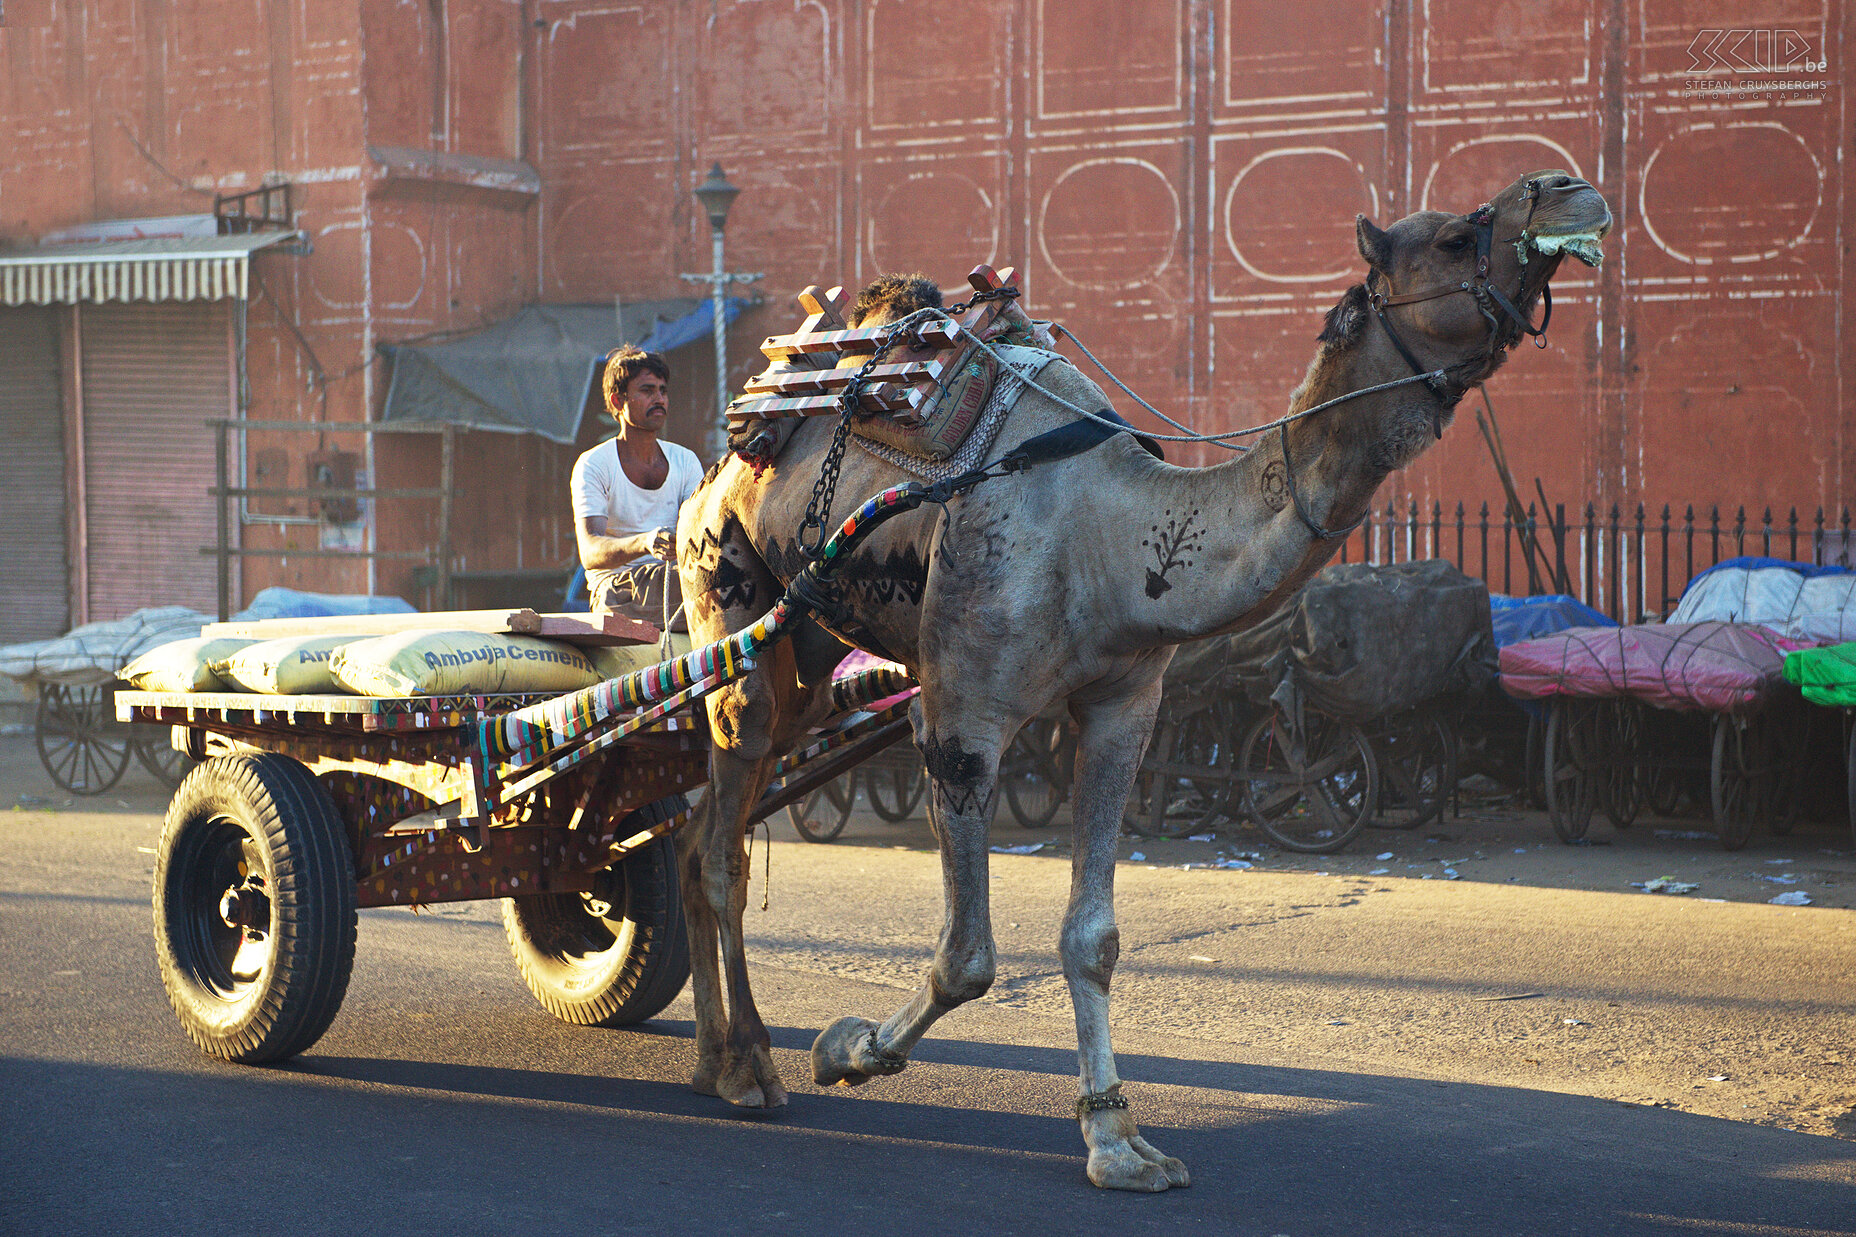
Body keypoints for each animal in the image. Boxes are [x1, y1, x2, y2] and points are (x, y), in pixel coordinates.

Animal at [671, 170, 1611, 1188]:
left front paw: (1116, 1137)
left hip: (808, 653)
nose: (1567, 188)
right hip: (728, 591)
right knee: (723, 838)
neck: (1113, 536)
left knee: (695, 830)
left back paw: (710, 1058)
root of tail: (722, 453)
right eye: (1450, 238)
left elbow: (1095, 938)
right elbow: (969, 957)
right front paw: (849, 1047)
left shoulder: (1125, 706)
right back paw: (751, 1065)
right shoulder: (962, 714)